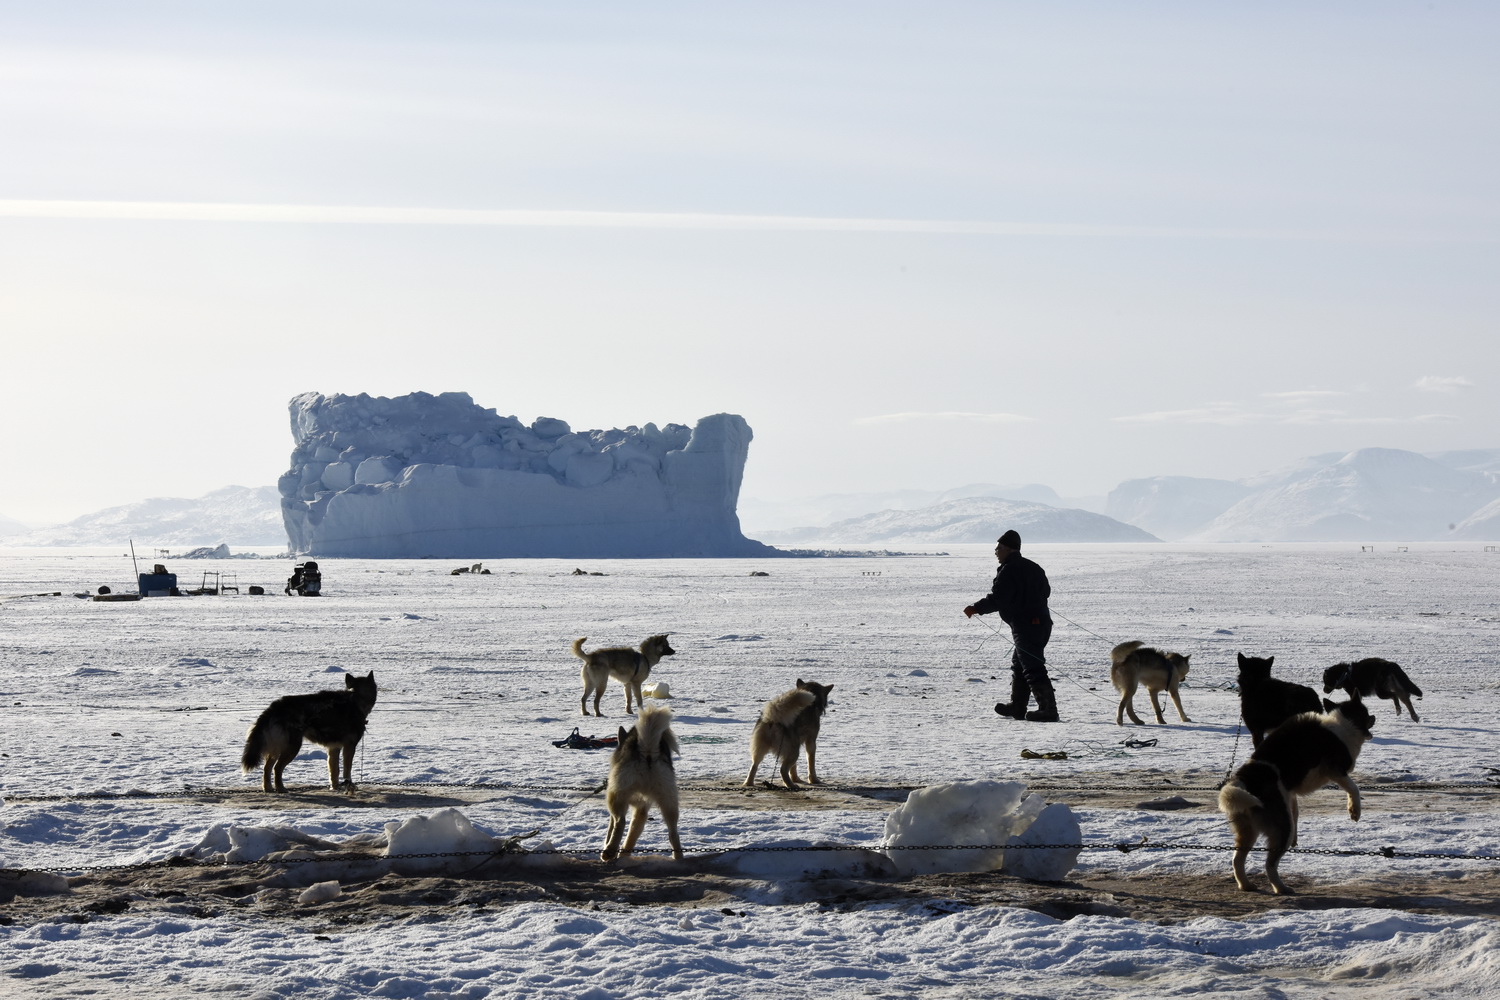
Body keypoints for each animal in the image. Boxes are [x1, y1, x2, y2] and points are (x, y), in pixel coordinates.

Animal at [241, 677, 378, 791]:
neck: (355, 699)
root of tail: (273, 707)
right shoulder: (349, 747)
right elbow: (346, 771)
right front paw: (348, 785)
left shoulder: (334, 748)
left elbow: (334, 771)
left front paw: (334, 788)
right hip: (292, 748)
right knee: (277, 768)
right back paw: (281, 788)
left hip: (277, 748)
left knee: (267, 768)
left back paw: (268, 788)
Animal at [603, 704, 687, 863]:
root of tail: (648, 752)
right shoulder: (641, 809)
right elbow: (632, 836)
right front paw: (623, 855)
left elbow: (612, 828)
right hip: (669, 801)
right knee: (673, 833)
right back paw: (678, 858)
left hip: (616, 797)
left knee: (620, 822)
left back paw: (608, 852)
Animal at [1212, 695, 1374, 899]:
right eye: (1366, 713)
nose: (1374, 717)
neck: (1342, 723)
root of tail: (1244, 779)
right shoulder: (1335, 771)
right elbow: (1354, 789)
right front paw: (1354, 810)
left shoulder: (1290, 793)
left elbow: (1296, 811)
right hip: (1282, 829)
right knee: (1269, 864)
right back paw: (1281, 888)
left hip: (1249, 830)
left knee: (1237, 860)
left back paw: (1246, 885)